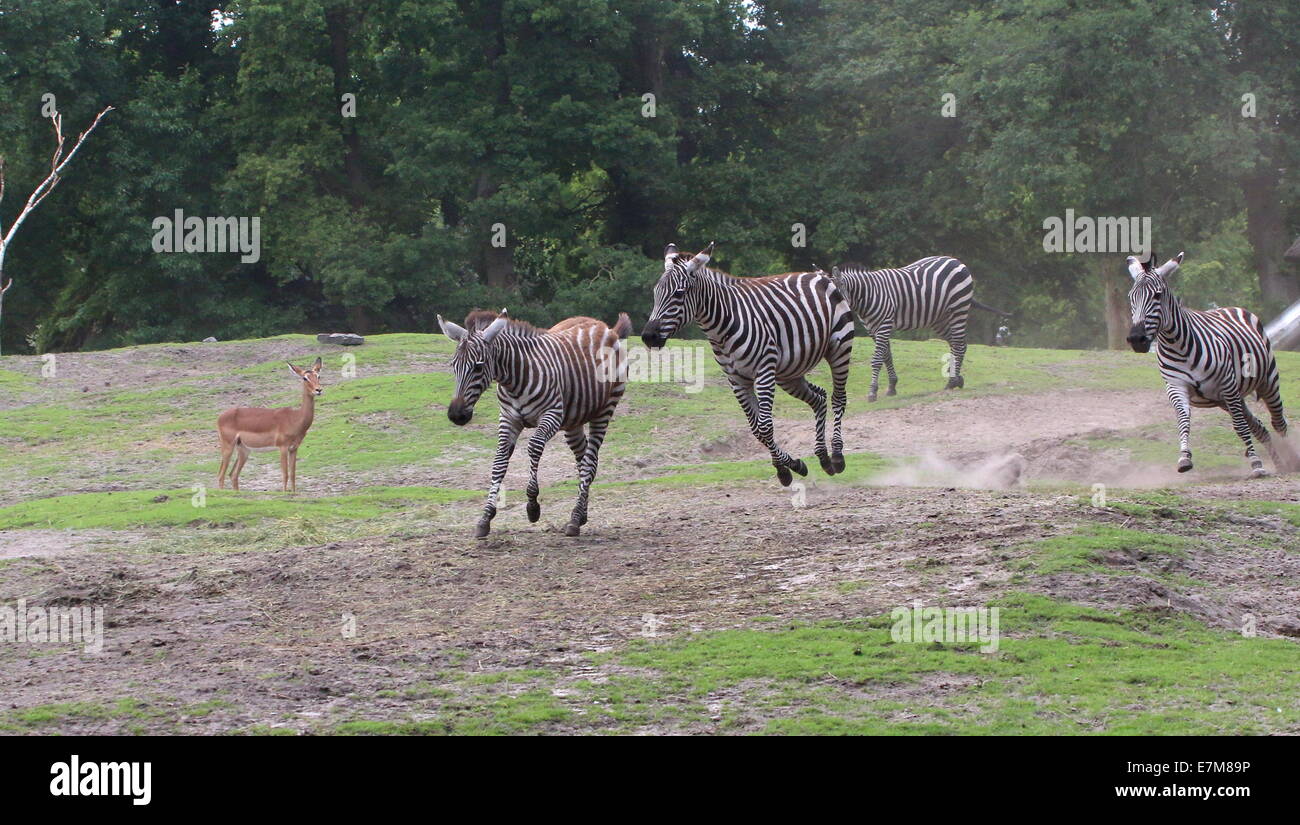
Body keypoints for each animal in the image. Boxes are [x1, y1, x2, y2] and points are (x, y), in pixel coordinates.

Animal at [215, 358, 322, 493]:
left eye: (318, 375)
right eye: (305, 378)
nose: (318, 390)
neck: (295, 418)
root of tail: (220, 417)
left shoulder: (294, 448)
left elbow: (293, 474)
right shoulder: (283, 447)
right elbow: (285, 474)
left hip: (244, 450)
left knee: (233, 475)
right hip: (228, 447)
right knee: (221, 475)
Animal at [436, 307, 629, 535]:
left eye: (478, 367)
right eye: (453, 366)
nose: (456, 415)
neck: (514, 379)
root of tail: (605, 327)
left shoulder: (552, 414)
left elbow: (534, 446)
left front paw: (532, 506)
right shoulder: (508, 419)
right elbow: (499, 461)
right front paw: (486, 516)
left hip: (605, 410)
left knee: (590, 462)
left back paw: (574, 518)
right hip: (573, 420)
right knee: (584, 460)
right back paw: (581, 514)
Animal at [637, 241, 852, 488]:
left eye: (679, 294)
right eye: (656, 293)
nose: (648, 337)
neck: (721, 328)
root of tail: (817, 274)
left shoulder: (763, 372)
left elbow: (765, 426)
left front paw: (784, 470)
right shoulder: (736, 380)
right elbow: (757, 429)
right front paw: (792, 466)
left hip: (839, 347)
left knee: (838, 398)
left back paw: (837, 456)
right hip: (788, 374)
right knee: (819, 398)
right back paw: (823, 458)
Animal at [826, 257, 1008, 402]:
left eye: (836, 298)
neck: (868, 294)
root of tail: (956, 261)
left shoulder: (884, 324)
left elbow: (877, 359)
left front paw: (872, 392)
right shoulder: (873, 329)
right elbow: (887, 356)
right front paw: (892, 386)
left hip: (959, 308)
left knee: (958, 343)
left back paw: (951, 382)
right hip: (940, 318)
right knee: (960, 344)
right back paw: (956, 378)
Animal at [1123, 254, 1294, 480]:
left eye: (1157, 296)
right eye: (1131, 297)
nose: (1136, 339)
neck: (1177, 344)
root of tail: (1230, 307)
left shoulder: (1227, 384)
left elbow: (1239, 426)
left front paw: (1256, 464)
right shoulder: (1176, 387)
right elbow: (1183, 421)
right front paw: (1184, 458)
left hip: (1266, 381)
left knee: (1278, 422)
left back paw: (1291, 459)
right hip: (1227, 398)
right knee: (1259, 426)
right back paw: (1280, 463)